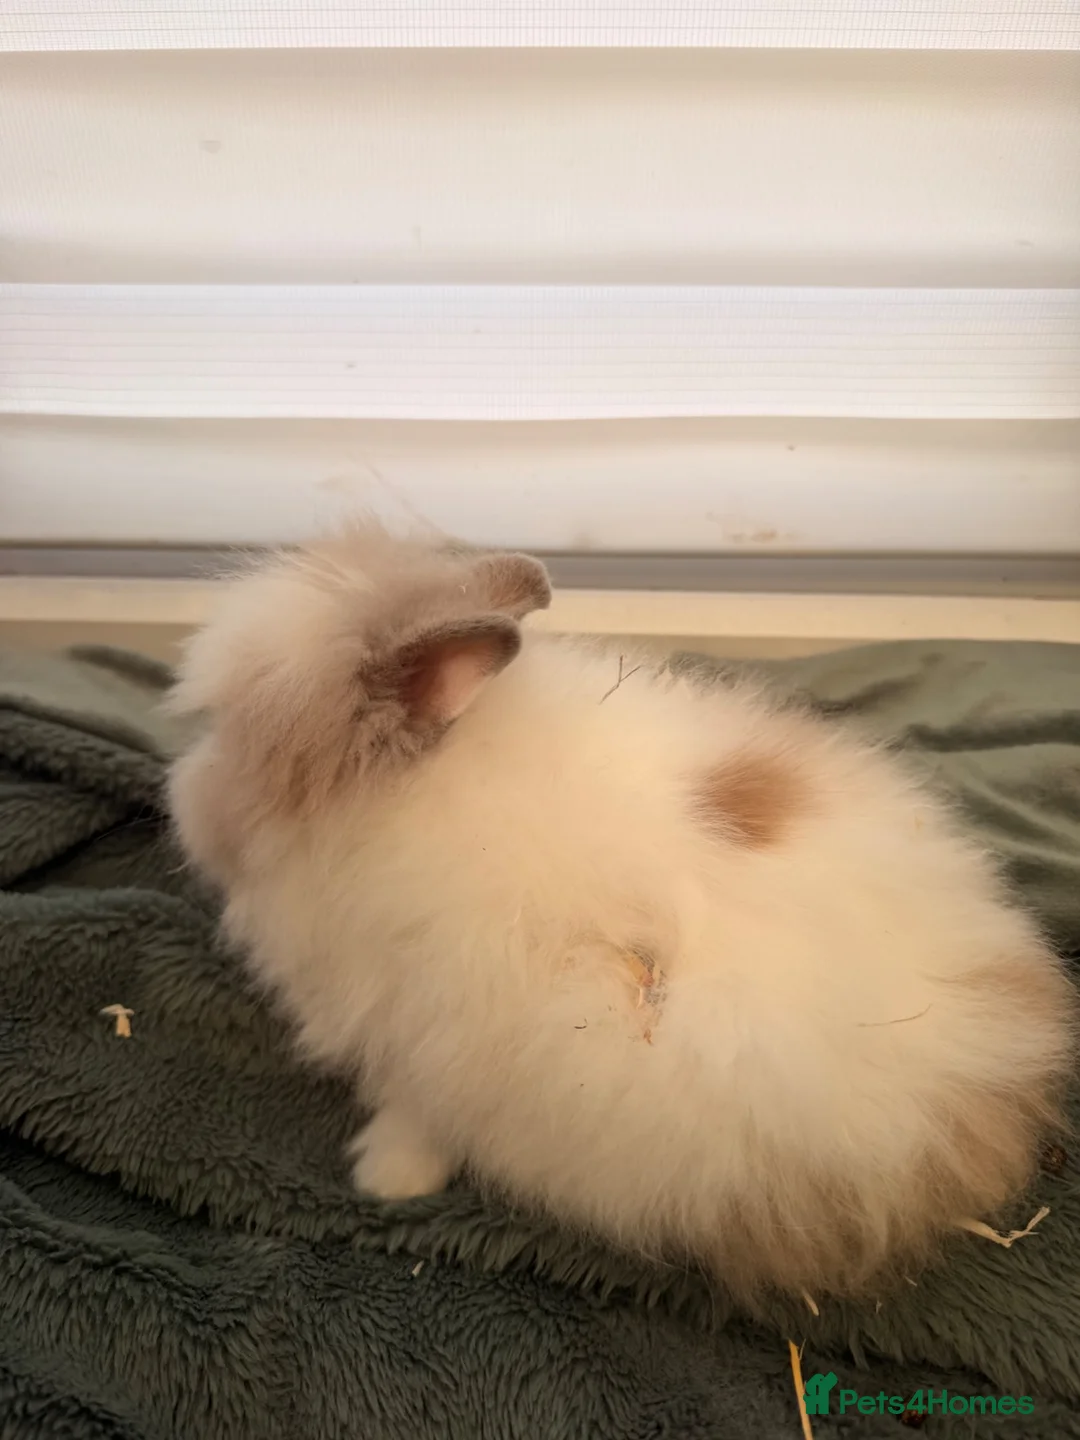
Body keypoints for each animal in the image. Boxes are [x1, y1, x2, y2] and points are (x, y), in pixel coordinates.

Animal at [167, 520, 1075, 1303]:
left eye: (232, 731)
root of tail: (1002, 1077)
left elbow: (420, 1117)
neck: (401, 796)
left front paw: (385, 1177)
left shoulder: (431, 1034)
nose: (186, 809)